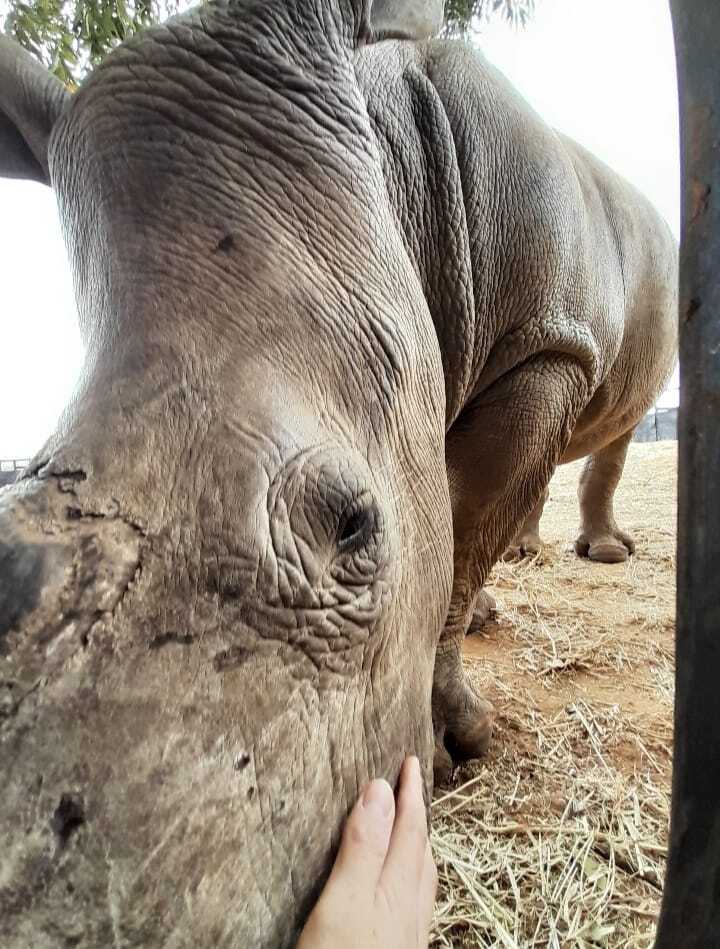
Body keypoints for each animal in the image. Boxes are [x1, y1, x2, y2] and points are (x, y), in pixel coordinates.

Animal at [0, 0, 677, 944]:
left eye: (352, 526)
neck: (398, 173)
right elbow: (461, 528)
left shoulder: (546, 344)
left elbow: (463, 536)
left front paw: (456, 743)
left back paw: (600, 556)